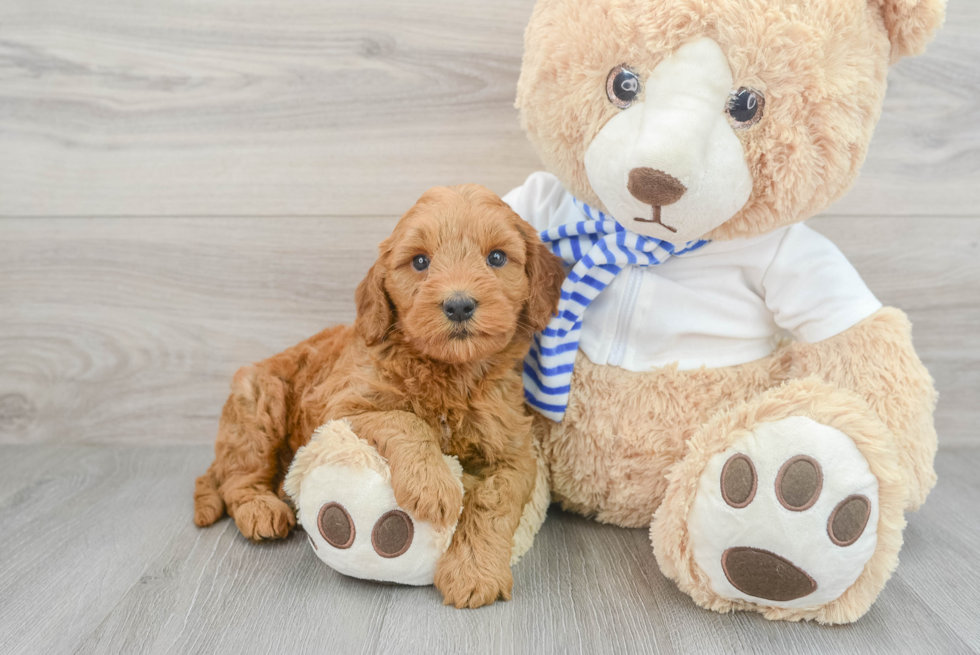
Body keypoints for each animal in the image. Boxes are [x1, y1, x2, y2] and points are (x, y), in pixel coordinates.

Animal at [191, 183, 564, 608]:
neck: (449, 372)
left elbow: (494, 504)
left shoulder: (513, 450)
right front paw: (433, 484)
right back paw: (260, 508)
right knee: (238, 476)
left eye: (497, 257)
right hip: (258, 400)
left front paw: (473, 572)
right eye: (420, 261)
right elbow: (404, 418)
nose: (458, 305)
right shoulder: (341, 405)